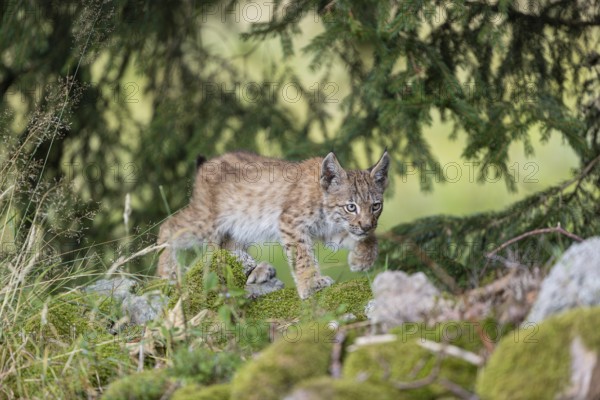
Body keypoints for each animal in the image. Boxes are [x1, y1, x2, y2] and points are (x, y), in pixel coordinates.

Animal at [156, 151, 390, 300]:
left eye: (376, 206)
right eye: (351, 207)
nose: (367, 225)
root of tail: (208, 163)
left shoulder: (330, 230)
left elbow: (365, 239)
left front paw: (362, 259)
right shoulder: (291, 223)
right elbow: (302, 257)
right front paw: (311, 284)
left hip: (236, 227)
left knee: (228, 250)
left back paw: (257, 272)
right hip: (207, 221)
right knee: (169, 225)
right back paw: (167, 273)